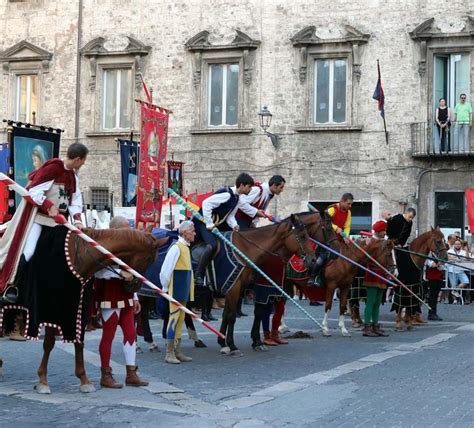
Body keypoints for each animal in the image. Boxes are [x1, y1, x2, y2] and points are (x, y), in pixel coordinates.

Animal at [0, 227, 167, 394]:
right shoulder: (50, 311)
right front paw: (43, 381)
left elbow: (79, 343)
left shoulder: (79, 310)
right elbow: (49, 343)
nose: (134, 287)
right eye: (149, 259)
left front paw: (84, 380)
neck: (78, 256)